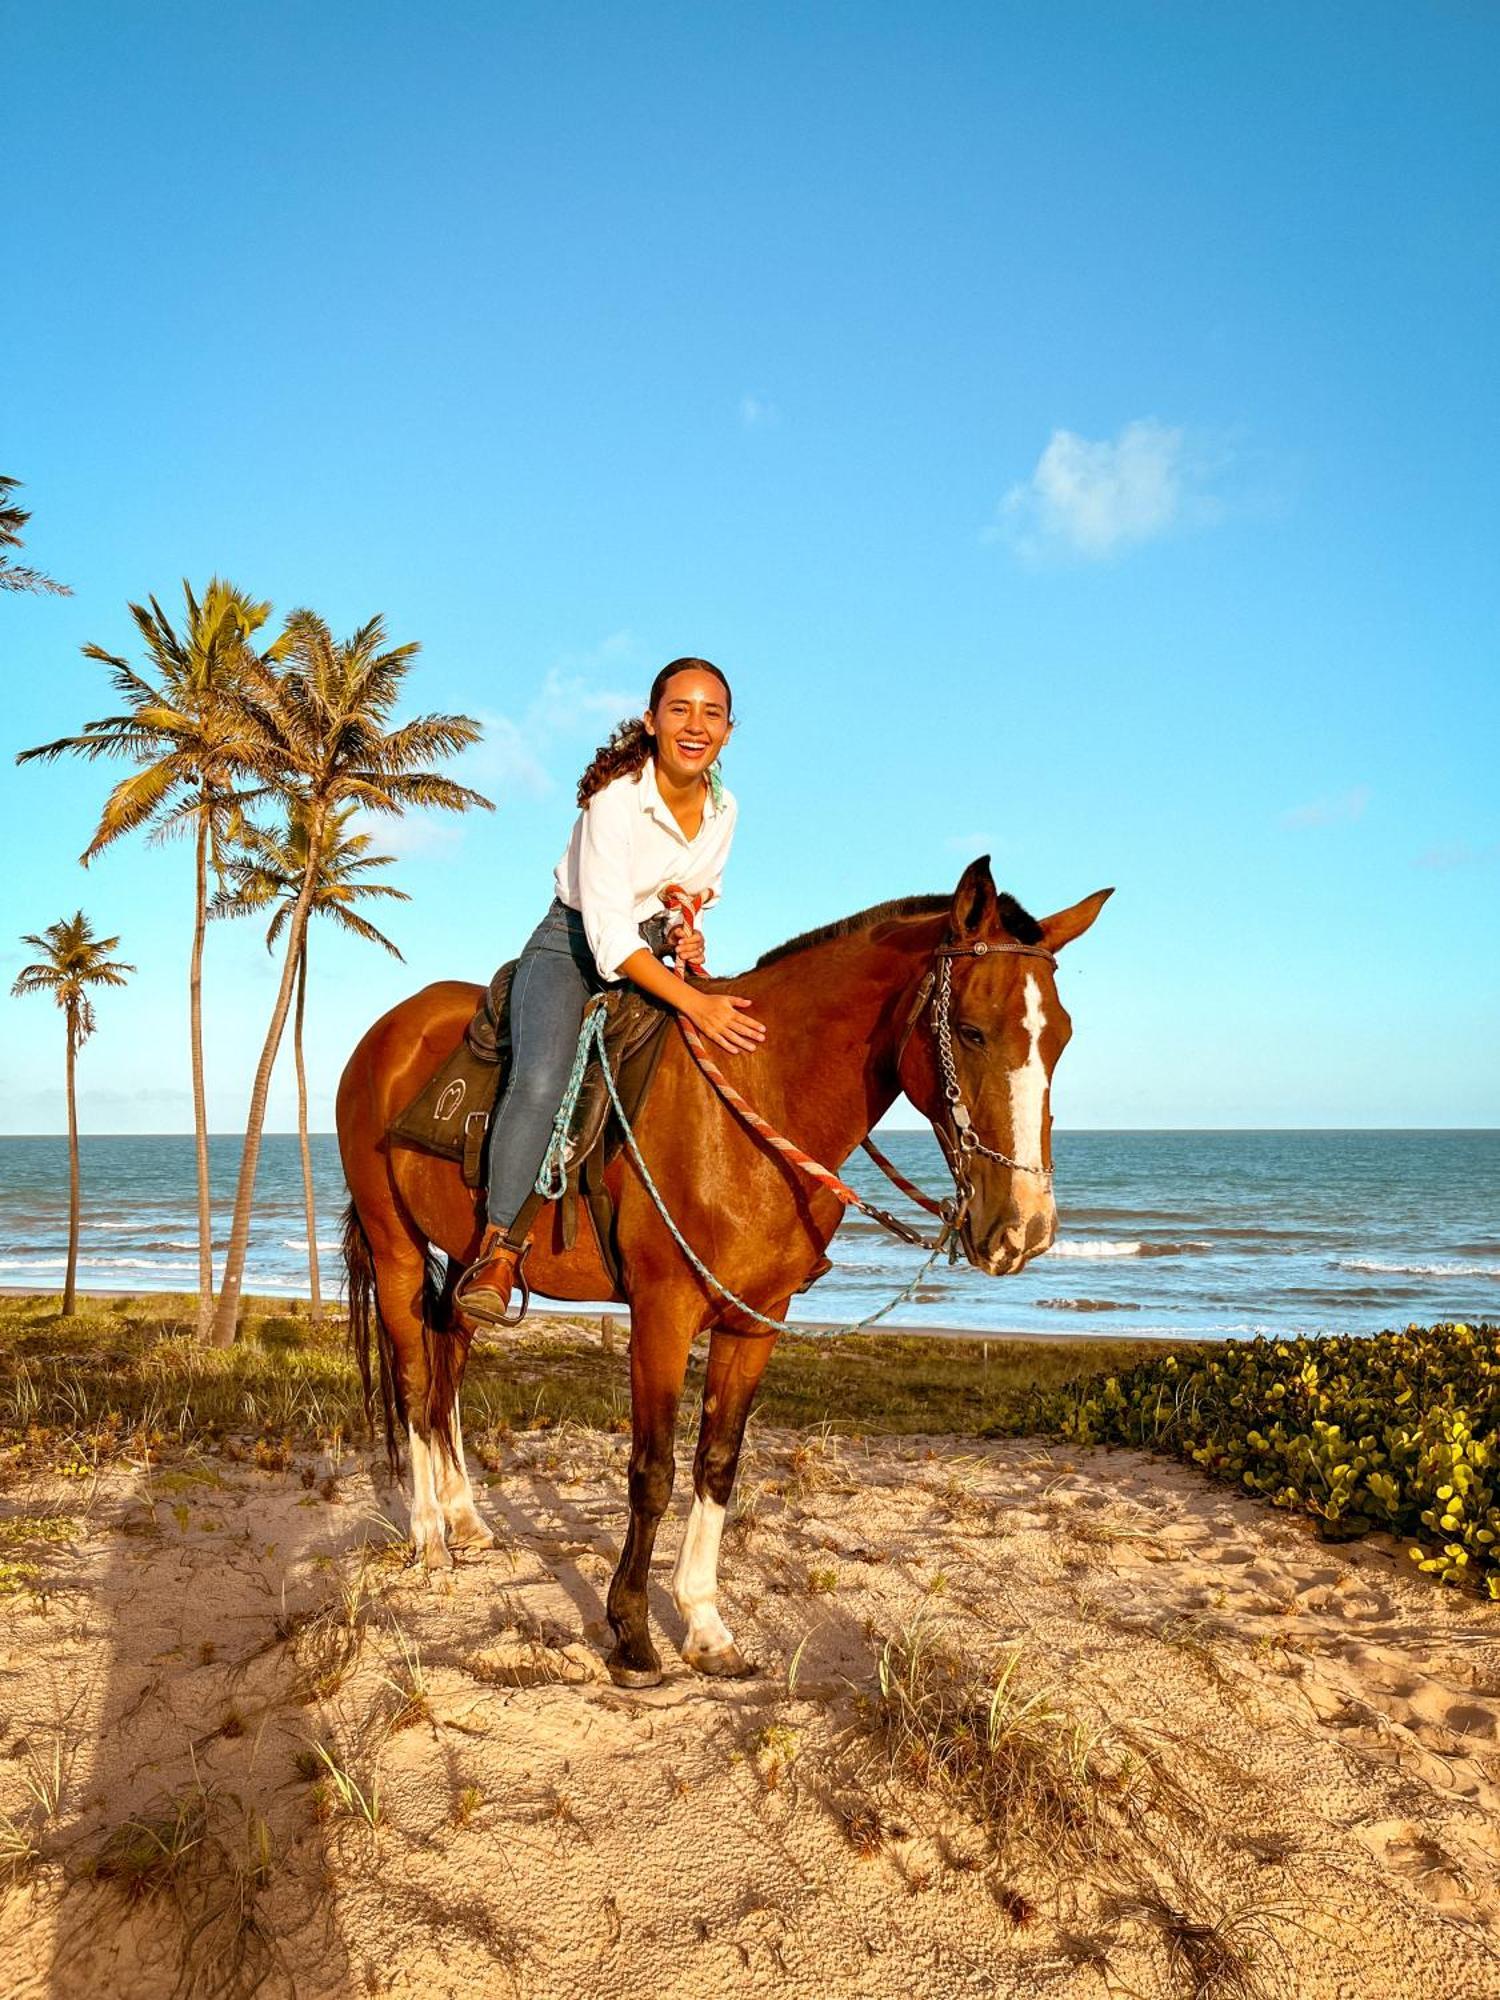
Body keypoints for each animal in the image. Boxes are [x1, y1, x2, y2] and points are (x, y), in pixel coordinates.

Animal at [344, 860, 1120, 1688]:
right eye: (972, 1031)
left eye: (1061, 1038)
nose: (1025, 1229)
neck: (754, 1103)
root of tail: (389, 1032)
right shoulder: (662, 1314)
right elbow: (652, 1469)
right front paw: (631, 1633)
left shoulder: (755, 1320)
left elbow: (718, 1461)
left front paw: (705, 1626)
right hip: (396, 1250)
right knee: (414, 1380)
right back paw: (429, 1536)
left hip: (465, 1260)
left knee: (448, 1364)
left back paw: (467, 1519)